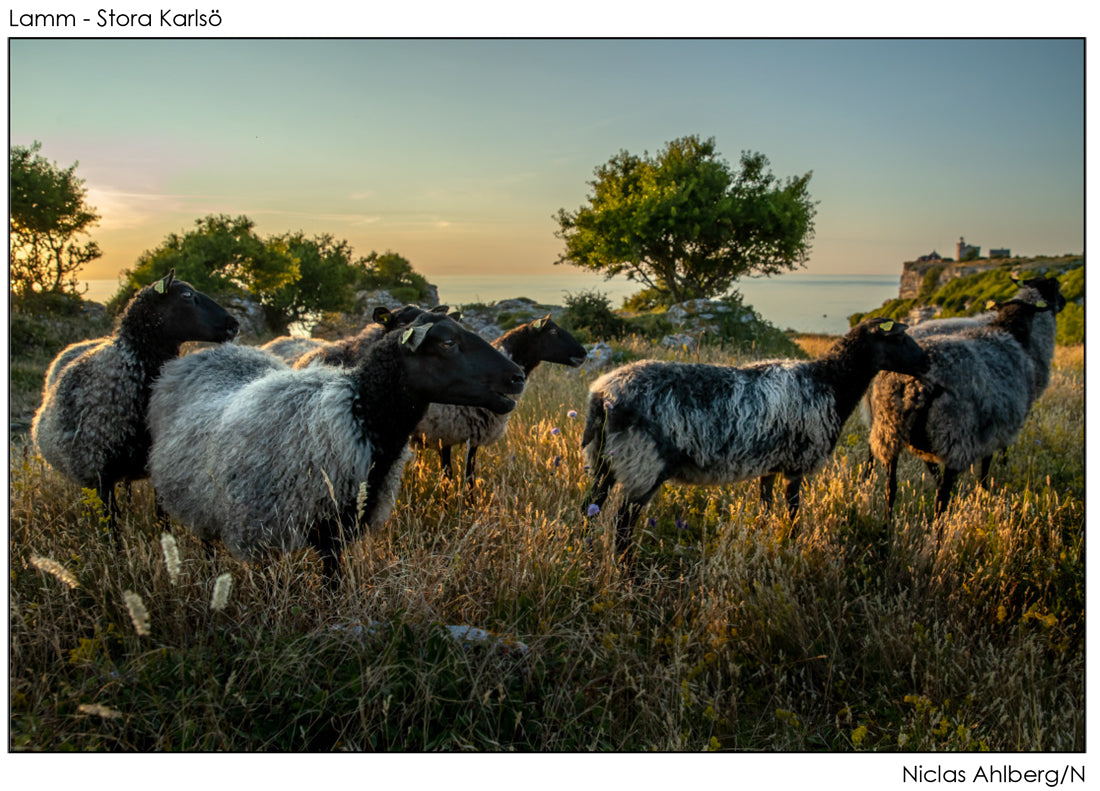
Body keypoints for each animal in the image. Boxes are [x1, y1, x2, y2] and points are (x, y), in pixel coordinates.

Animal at [147, 310, 528, 580]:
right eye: (448, 343)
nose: (517, 376)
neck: (363, 413)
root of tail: (195, 359)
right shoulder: (268, 528)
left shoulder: (339, 527)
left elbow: (334, 582)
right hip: (201, 504)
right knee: (207, 546)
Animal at [413, 314, 589, 481]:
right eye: (553, 332)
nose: (583, 353)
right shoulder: (444, 433)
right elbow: (448, 474)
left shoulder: (474, 435)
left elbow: (469, 474)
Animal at [580, 316, 932, 563]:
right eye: (898, 337)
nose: (927, 361)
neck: (831, 382)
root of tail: (602, 394)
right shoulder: (796, 464)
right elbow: (793, 514)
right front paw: (793, 548)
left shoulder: (771, 465)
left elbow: (765, 507)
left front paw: (763, 541)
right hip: (643, 463)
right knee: (622, 525)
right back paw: (627, 575)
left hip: (604, 459)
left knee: (590, 508)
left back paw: (587, 556)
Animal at [866, 299, 1056, 519]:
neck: (1008, 332)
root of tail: (917, 384)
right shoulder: (994, 432)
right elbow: (986, 467)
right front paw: (984, 491)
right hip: (954, 437)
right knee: (941, 495)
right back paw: (939, 524)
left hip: (889, 433)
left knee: (891, 487)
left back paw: (888, 522)